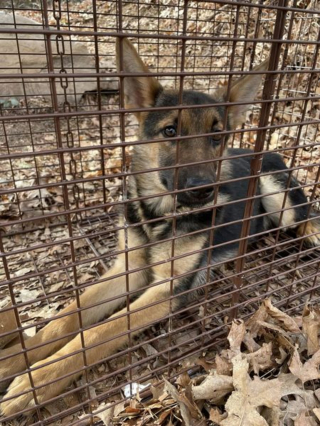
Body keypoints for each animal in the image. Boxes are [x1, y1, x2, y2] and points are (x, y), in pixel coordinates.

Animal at [0, 39, 320, 416]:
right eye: (170, 131)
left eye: (217, 136)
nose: (204, 189)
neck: (160, 215)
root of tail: (269, 151)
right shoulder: (129, 269)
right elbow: (65, 319)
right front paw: (15, 361)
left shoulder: (168, 288)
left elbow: (100, 332)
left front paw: (36, 382)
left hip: (279, 199)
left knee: (307, 219)